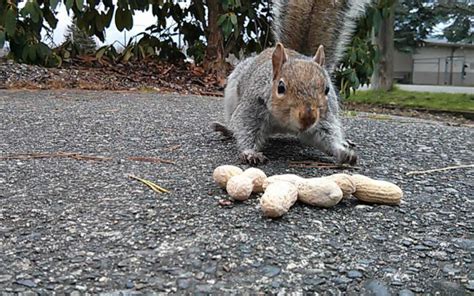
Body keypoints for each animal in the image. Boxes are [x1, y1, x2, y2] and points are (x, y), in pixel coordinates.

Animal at [213, 0, 372, 164]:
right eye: (281, 87)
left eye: (327, 89)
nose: (308, 118)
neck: (284, 122)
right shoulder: (252, 106)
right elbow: (245, 127)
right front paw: (250, 153)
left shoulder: (323, 118)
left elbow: (325, 137)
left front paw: (342, 152)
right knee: (233, 121)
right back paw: (226, 129)